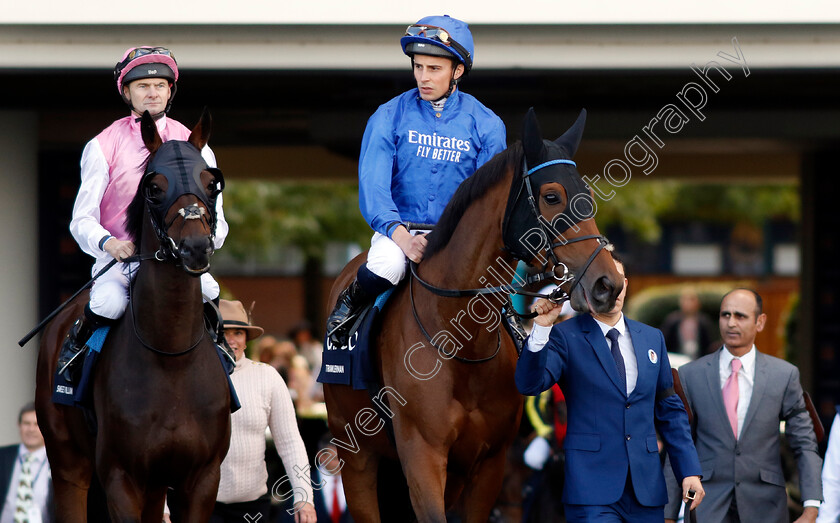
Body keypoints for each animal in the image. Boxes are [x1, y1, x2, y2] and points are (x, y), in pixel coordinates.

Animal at [34, 111, 231, 523]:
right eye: (154, 187)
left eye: (211, 184)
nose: (195, 248)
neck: (171, 358)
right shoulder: (120, 477)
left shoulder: (202, 477)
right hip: (67, 462)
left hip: (156, 483)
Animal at [324, 108, 624, 520]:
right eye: (551, 196)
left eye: (588, 197)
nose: (607, 284)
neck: (460, 343)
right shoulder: (422, 458)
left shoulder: (487, 465)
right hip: (357, 459)